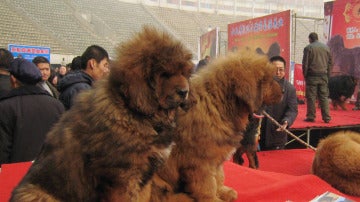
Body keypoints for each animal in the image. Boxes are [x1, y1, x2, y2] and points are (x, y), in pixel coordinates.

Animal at [9, 26, 194, 202]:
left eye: (184, 73)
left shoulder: (143, 178)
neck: (132, 111)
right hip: (36, 194)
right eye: (164, 74)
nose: (184, 92)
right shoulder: (122, 179)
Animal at [150, 51, 282, 201]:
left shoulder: (217, 157)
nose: (283, 91)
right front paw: (213, 198)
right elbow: (206, 184)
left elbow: (218, 176)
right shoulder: (200, 160)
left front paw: (223, 192)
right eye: (269, 80)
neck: (218, 103)